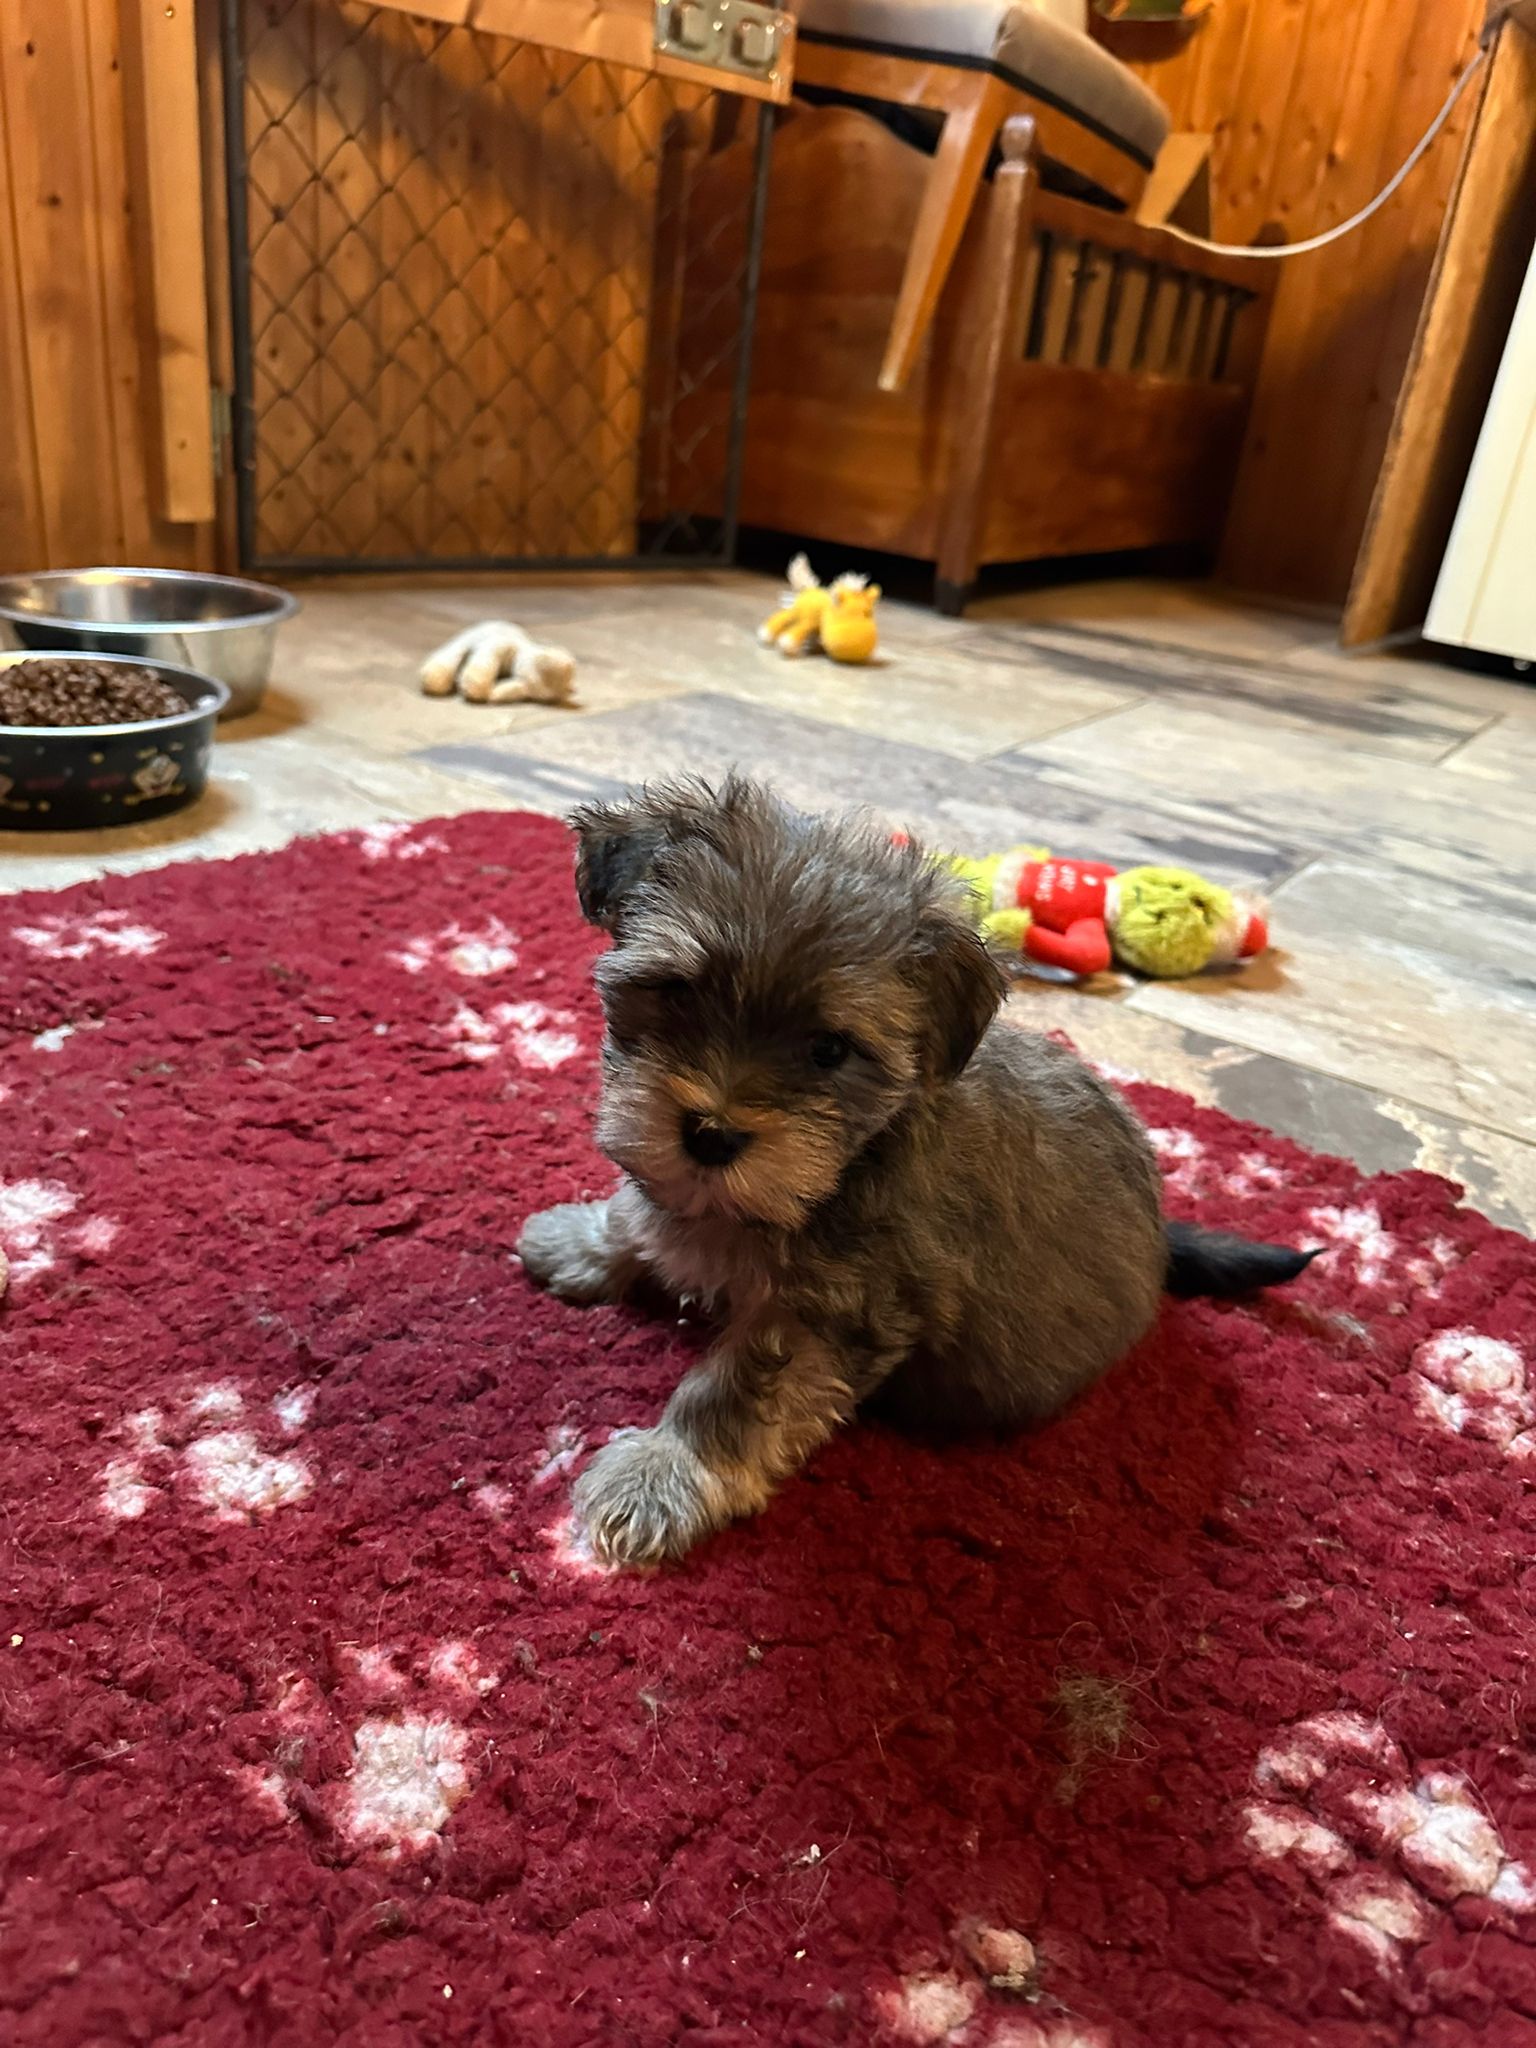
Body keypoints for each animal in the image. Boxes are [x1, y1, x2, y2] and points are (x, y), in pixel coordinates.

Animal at [517, 776, 1314, 1566]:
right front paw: (584, 1241)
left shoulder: (830, 1312)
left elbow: (735, 1392)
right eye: (678, 992)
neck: (846, 1162)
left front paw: (664, 1474)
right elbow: (641, 1208)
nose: (712, 1135)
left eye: (829, 1050)